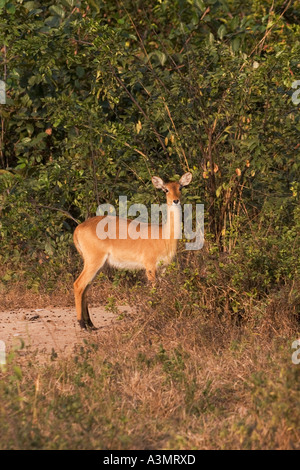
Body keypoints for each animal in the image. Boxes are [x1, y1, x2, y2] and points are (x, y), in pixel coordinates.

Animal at [74, 171, 193, 328]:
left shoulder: (163, 268)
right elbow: (154, 291)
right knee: (78, 285)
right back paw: (82, 324)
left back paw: (91, 325)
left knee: (85, 288)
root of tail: (78, 228)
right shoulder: (150, 267)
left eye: (180, 187)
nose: (176, 201)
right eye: (165, 189)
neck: (164, 236)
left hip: (97, 265)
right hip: (93, 262)